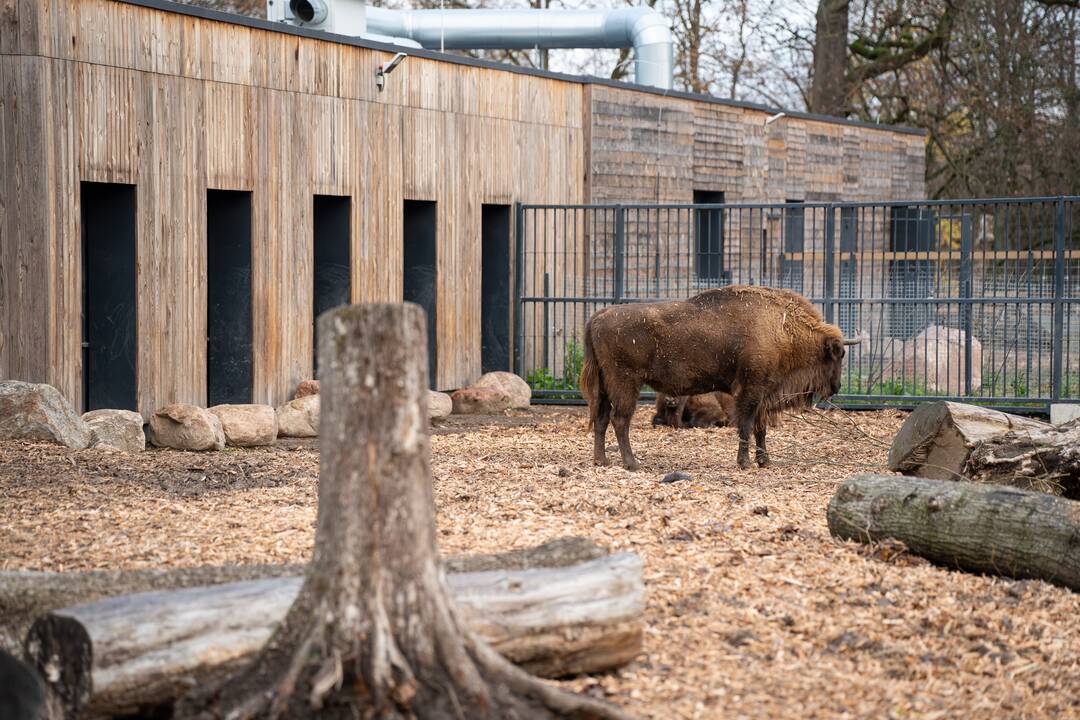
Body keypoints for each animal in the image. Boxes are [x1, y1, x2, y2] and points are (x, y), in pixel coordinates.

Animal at [578, 287, 864, 472]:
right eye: (838, 354)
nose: (836, 387)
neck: (781, 327)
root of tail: (598, 317)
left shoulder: (762, 394)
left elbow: (760, 428)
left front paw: (764, 462)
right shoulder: (750, 390)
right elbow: (746, 426)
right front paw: (744, 463)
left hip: (604, 386)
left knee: (601, 418)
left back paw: (601, 461)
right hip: (625, 383)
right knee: (620, 420)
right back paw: (632, 463)